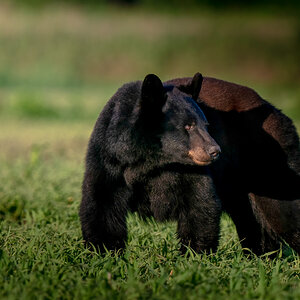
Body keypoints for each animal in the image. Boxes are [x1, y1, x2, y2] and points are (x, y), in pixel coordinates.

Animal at [80, 73, 223, 253]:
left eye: (206, 125)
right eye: (188, 126)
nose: (215, 151)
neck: (154, 160)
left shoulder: (192, 171)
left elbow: (201, 203)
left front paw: (195, 252)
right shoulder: (110, 161)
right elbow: (102, 202)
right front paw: (103, 249)